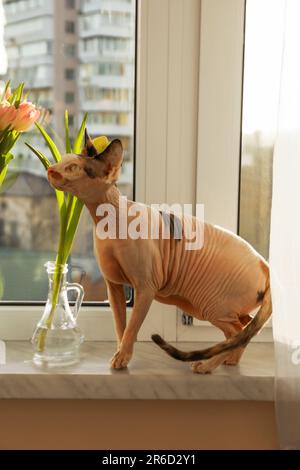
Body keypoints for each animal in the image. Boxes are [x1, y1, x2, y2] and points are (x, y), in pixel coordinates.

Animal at [47, 130, 272, 372]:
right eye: (61, 161)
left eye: (72, 168)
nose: (50, 170)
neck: (107, 223)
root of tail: (265, 265)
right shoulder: (113, 286)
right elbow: (120, 326)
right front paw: (119, 354)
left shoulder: (146, 287)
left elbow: (132, 327)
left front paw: (122, 357)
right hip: (223, 309)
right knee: (245, 330)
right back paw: (231, 359)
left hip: (211, 305)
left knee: (236, 332)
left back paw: (206, 365)